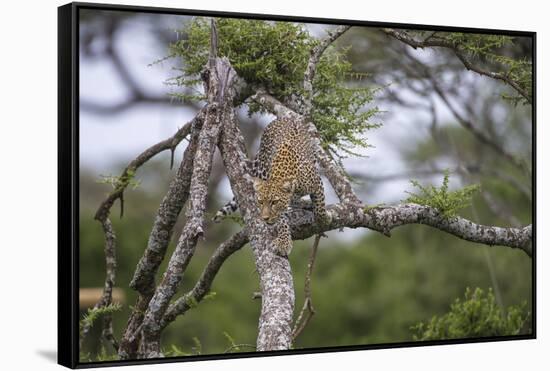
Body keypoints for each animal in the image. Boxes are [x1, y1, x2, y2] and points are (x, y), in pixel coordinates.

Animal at [213, 117, 330, 258]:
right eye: (260, 202)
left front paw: (323, 219)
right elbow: (282, 220)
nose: (265, 218)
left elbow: (320, 207)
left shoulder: (317, 183)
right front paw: (284, 243)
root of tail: (281, 118)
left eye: (274, 202)